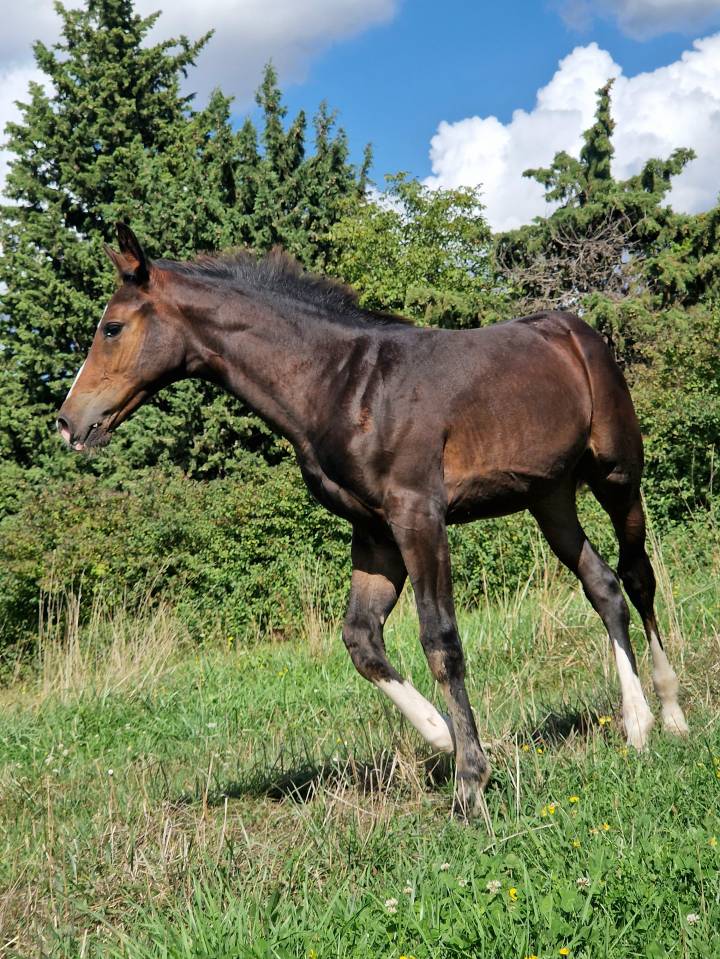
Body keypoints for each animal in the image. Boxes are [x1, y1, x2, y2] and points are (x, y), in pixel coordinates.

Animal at [56, 223, 688, 816]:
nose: (68, 423)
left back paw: (672, 713)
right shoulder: (375, 535)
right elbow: (361, 640)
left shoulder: (419, 516)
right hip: (549, 497)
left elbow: (440, 640)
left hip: (616, 476)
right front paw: (441, 736)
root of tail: (578, 331)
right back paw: (636, 724)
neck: (342, 384)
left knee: (637, 577)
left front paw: (471, 782)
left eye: (111, 328)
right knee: (602, 586)